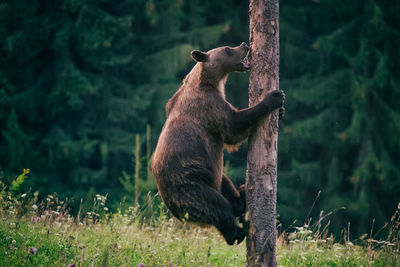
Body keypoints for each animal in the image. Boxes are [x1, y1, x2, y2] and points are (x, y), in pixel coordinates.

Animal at [150, 42, 284, 245]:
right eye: (227, 49)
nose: (244, 44)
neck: (210, 81)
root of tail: (176, 212)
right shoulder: (208, 106)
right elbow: (233, 126)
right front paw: (274, 97)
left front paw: (282, 110)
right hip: (191, 187)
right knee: (218, 207)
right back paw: (239, 230)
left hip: (211, 174)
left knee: (225, 185)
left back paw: (242, 195)